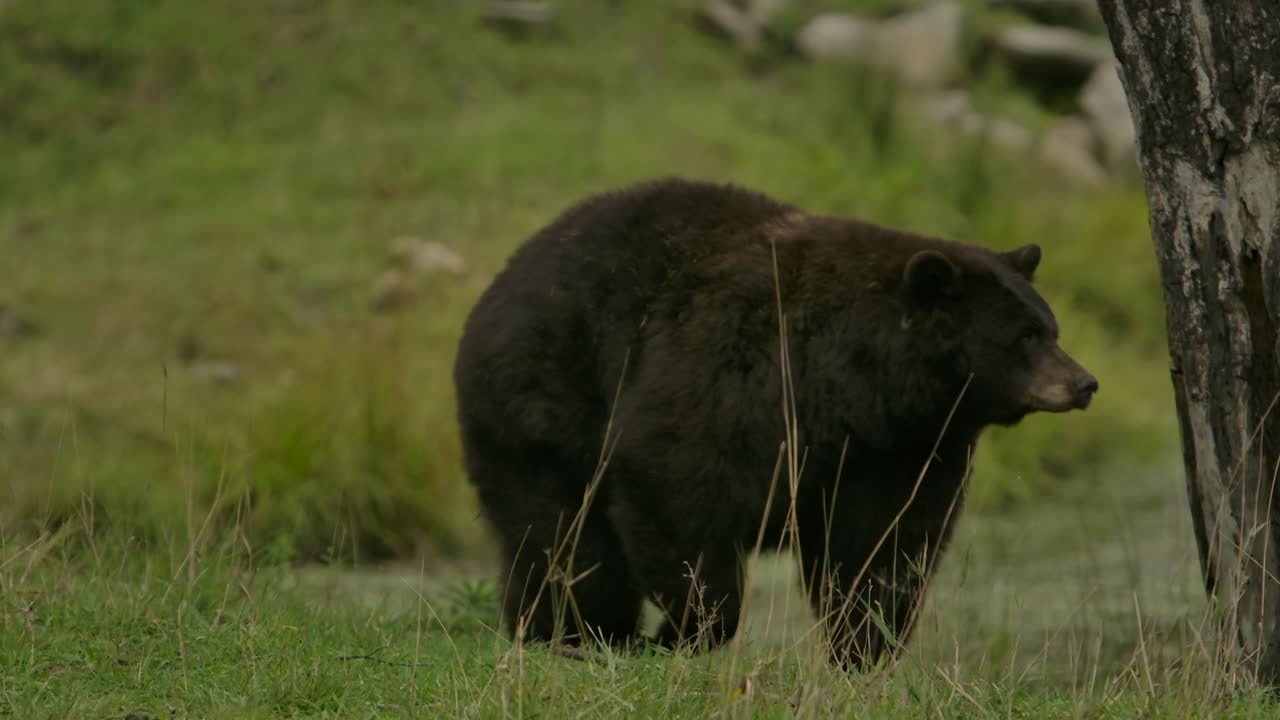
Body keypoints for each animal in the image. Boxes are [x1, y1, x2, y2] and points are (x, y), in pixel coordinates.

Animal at [452, 177, 1097, 670]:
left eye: (1050, 328)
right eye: (1026, 337)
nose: (1084, 383)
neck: (855, 384)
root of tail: (498, 283)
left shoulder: (899, 451)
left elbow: (883, 546)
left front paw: (862, 649)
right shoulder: (736, 379)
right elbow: (673, 489)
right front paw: (685, 631)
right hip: (543, 404)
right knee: (566, 538)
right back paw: (579, 631)